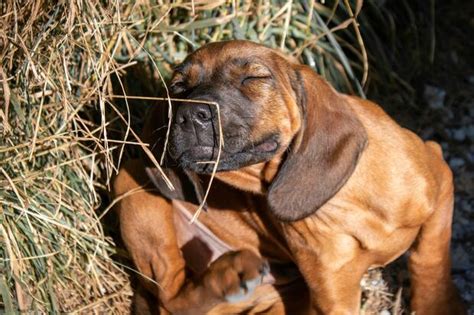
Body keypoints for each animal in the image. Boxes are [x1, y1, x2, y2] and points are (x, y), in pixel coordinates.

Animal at [113, 40, 464, 314]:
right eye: (178, 87)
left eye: (254, 77)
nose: (188, 114)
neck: (342, 202)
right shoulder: (334, 298)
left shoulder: (441, 174)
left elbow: (430, 259)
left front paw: (439, 306)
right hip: (132, 180)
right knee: (172, 299)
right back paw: (230, 273)